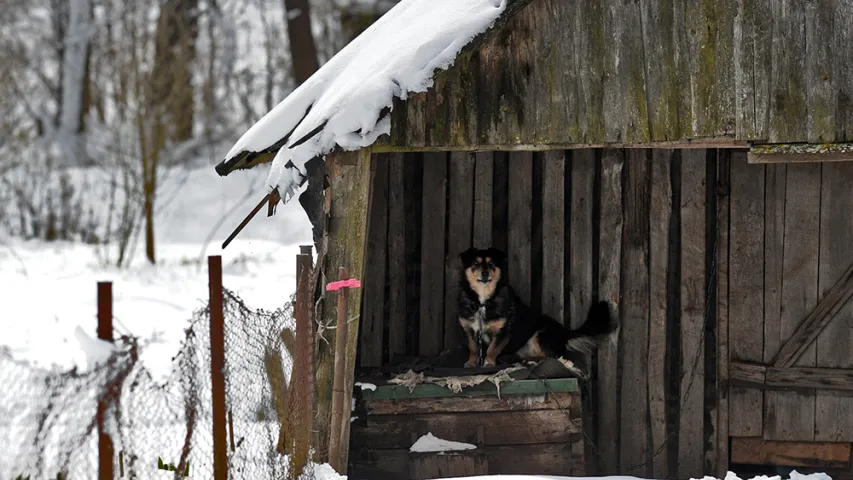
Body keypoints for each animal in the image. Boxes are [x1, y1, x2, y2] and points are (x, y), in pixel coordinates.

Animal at [456, 246, 616, 370]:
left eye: (491, 263)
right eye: (475, 263)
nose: (485, 273)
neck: (483, 301)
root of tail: (564, 333)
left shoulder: (503, 332)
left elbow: (491, 349)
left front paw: (489, 363)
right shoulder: (469, 330)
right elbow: (473, 348)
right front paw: (471, 362)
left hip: (540, 334)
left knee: (552, 357)